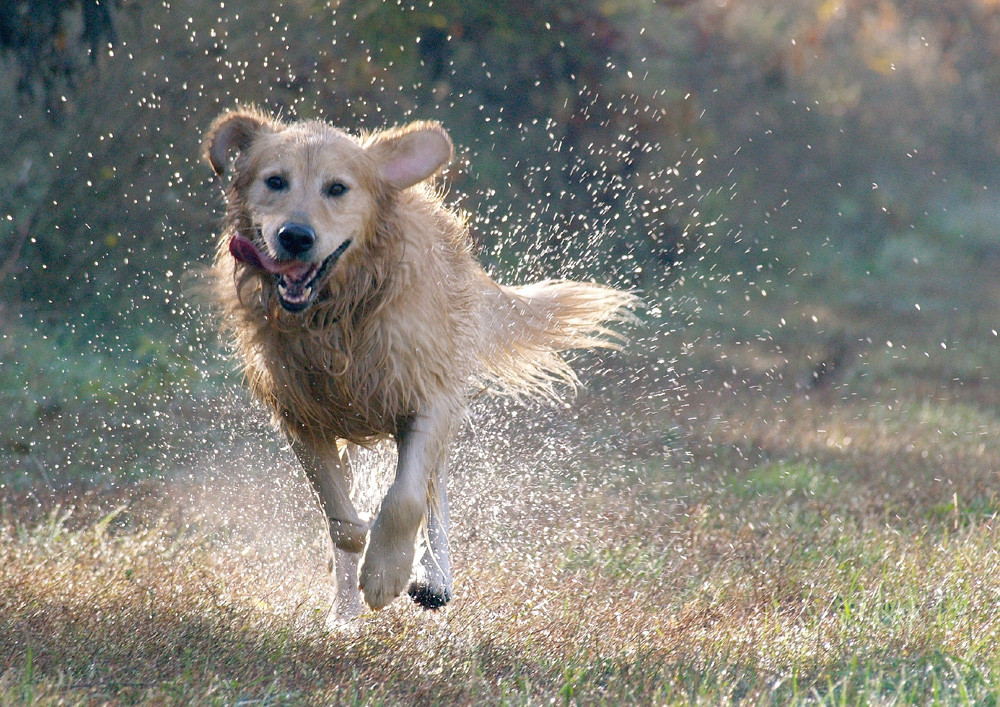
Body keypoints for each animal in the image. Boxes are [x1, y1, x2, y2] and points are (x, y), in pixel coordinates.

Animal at [202, 108, 636, 624]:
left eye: (337, 188)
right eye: (275, 181)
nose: (295, 237)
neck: (339, 315)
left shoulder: (428, 397)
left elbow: (406, 499)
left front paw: (387, 572)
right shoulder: (301, 419)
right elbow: (343, 524)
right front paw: (346, 607)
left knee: (434, 489)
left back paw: (434, 578)